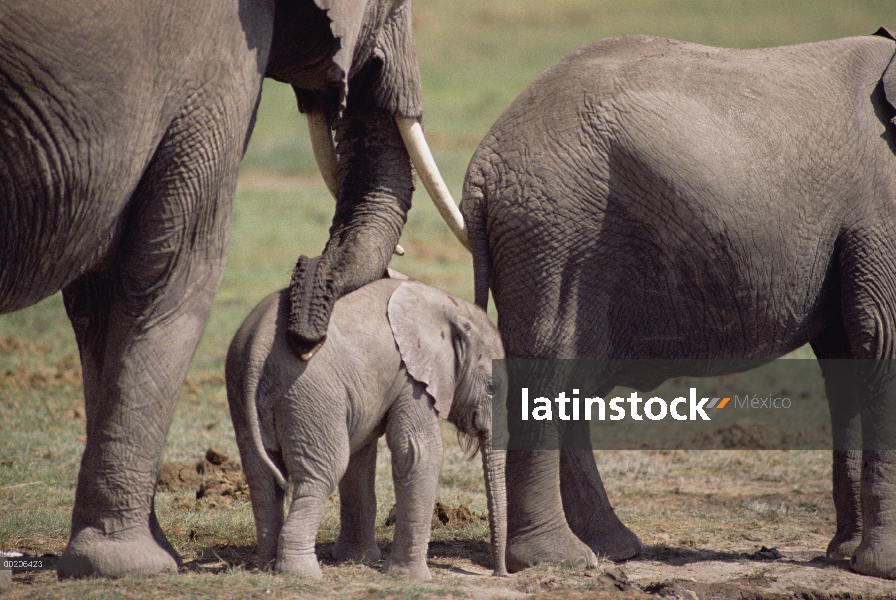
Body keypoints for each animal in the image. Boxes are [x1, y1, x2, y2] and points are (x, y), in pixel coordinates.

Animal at [228, 274, 508, 580]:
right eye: (492, 387)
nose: (499, 574)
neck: (448, 306)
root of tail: (255, 351)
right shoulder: (411, 379)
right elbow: (420, 454)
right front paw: (409, 578)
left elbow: (360, 458)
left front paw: (358, 559)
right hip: (307, 392)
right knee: (322, 473)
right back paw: (301, 574)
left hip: (244, 394)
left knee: (262, 478)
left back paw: (267, 566)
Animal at [458, 30, 896, 580]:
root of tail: (483, 166)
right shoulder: (882, 207)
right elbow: (880, 337)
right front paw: (881, 567)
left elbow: (850, 352)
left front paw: (846, 556)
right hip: (556, 231)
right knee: (549, 369)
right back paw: (560, 559)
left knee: (571, 376)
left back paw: (612, 548)